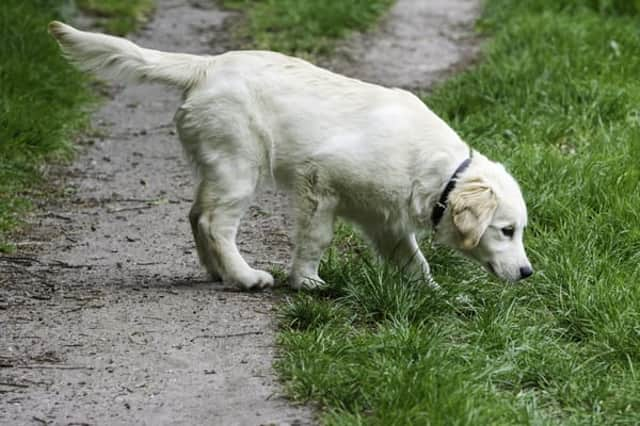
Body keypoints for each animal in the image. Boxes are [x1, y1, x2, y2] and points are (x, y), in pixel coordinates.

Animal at [50, 21, 532, 292]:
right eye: (506, 231)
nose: (528, 272)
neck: (439, 172)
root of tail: (207, 66)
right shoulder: (321, 182)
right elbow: (316, 238)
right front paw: (307, 282)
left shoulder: (386, 221)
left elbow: (413, 259)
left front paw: (435, 293)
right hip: (240, 165)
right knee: (214, 221)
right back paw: (245, 277)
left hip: (220, 164)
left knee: (195, 215)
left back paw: (219, 273)